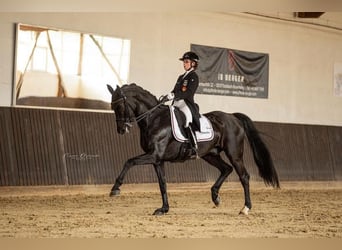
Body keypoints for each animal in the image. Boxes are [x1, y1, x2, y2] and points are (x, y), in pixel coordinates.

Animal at [107, 83, 280, 215]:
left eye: (119, 106)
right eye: (112, 106)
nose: (121, 130)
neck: (154, 119)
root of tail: (232, 117)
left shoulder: (154, 155)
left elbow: (129, 161)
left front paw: (115, 189)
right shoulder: (158, 160)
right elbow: (162, 184)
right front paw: (164, 209)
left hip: (234, 154)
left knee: (243, 176)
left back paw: (245, 208)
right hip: (210, 155)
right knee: (226, 169)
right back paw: (215, 197)